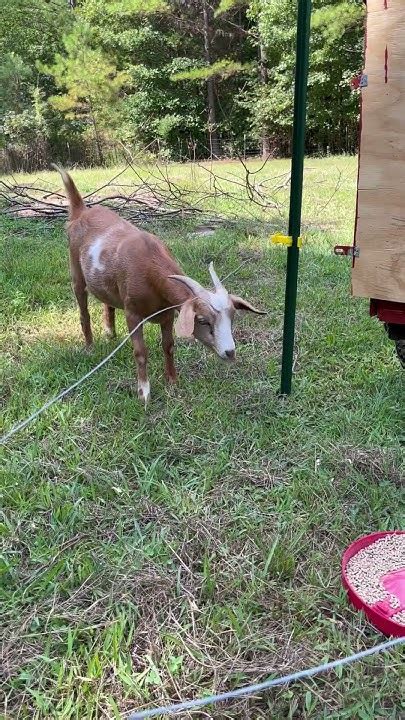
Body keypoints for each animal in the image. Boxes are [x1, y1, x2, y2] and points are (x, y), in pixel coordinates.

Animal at [52, 167, 266, 404]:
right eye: (202, 320)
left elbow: (168, 346)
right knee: (84, 310)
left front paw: (172, 382)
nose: (230, 353)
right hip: (76, 272)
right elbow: (140, 352)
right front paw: (144, 393)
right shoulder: (133, 314)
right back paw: (90, 347)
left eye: (233, 317)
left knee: (108, 302)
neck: (149, 266)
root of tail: (81, 211)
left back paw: (110, 333)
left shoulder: (167, 313)